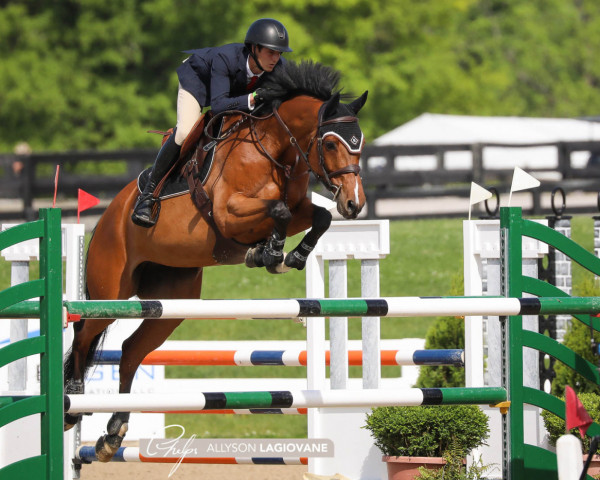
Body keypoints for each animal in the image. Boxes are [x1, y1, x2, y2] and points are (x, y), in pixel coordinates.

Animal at [63, 60, 368, 462]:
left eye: (359, 144)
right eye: (331, 143)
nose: (354, 203)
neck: (275, 148)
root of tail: (106, 216)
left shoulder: (300, 209)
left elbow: (317, 217)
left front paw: (288, 256)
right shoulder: (228, 212)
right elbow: (279, 209)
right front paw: (269, 252)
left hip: (172, 304)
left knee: (130, 351)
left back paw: (113, 433)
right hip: (109, 293)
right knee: (84, 333)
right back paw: (73, 397)